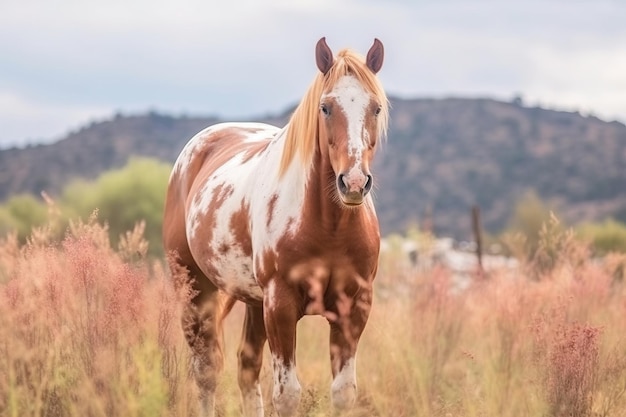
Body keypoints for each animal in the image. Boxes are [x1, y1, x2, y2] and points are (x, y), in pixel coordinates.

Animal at [161, 36, 386, 416]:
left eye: (376, 108)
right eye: (325, 108)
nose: (354, 183)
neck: (328, 227)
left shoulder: (354, 307)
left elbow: (343, 392)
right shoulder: (280, 305)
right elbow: (287, 394)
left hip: (253, 302)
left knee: (246, 370)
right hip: (195, 291)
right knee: (206, 371)